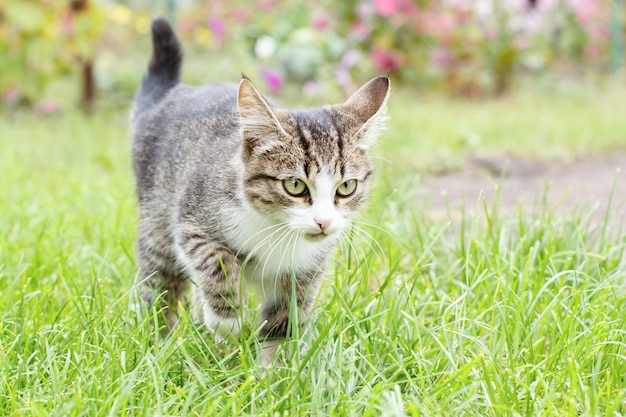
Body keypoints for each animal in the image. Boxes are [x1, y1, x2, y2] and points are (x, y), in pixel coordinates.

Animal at [129, 17, 388, 360]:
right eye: (295, 185)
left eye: (346, 187)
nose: (323, 222)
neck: (279, 232)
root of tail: (169, 98)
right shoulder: (192, 222)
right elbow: (215, 260)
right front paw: (226, 321)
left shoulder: (305, 270)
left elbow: (285, 318)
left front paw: (275, 366)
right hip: (157, 221)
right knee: (160, 286)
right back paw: (159, 342)